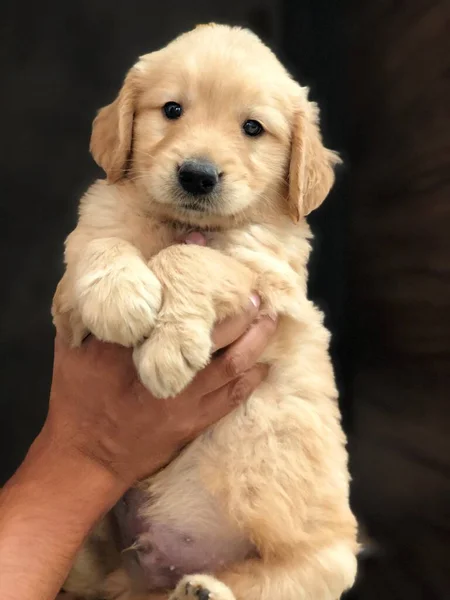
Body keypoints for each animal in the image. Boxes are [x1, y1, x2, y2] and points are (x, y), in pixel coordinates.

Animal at [52, 22, 356, 600]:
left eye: (253, 128)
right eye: (172, 110)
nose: (197, 175)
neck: (181, 222)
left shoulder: (269, 277)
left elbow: (191, 258)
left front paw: (167, 349)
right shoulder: (83, 259)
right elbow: (101, 242)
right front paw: (120, 298)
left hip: (321, 563)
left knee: (265, 584)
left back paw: (204, 589)